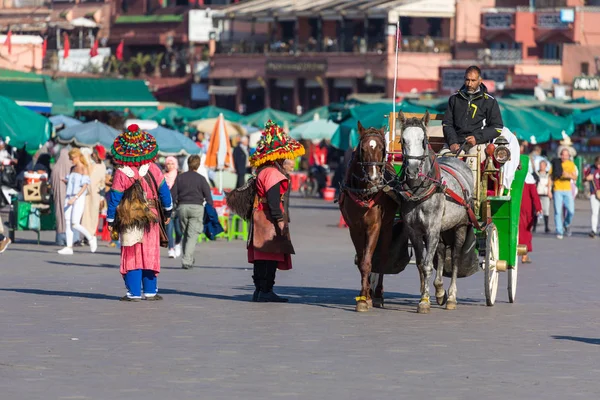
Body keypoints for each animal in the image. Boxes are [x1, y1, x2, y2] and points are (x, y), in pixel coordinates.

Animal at [338, 122, 398, 312]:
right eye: (362, 149)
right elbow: (362, 261)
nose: (374, 178)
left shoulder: (374, 226)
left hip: (387, 226)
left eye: (382, 149)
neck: (365, 192)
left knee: (383, 257)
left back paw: (378, 294)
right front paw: (364, 295)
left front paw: (366, 298)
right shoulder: (354, 227)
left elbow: (368, 261)